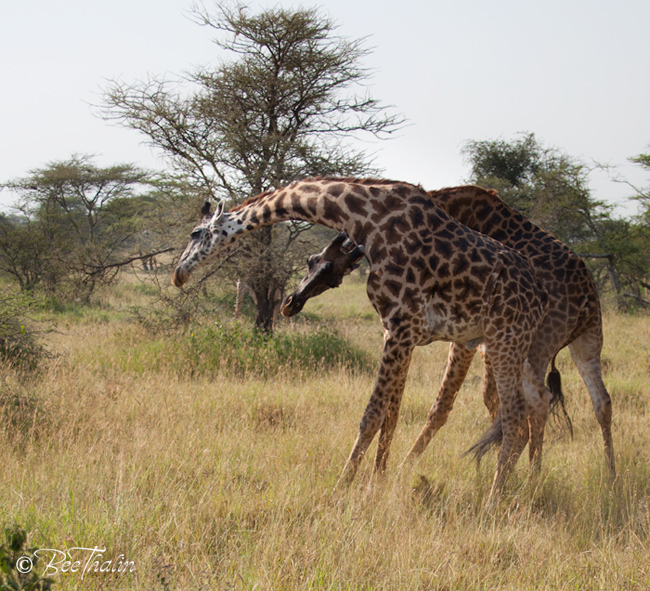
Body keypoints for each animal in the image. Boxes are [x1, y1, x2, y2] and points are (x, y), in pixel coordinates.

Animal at [172, 178, 551, 499]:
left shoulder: (402, 325)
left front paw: (342, 487)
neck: (367, 219)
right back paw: (529, 483)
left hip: (504, 340)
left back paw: (494, 499)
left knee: (514, 416)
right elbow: (390, 416)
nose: (178, 273)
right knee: (537, 403)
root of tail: (539, 295)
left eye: (195, 232)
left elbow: (371, 416)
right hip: (515, 348)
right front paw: (375, 483)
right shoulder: (398, 330)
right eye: (310, 260)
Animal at [281, 185, 615, 477]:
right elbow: (400, 408)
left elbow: (429, 407)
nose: (290, 303)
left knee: (535, 403)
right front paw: (381, 473)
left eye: (325, 267)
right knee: (600, 402)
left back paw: (530, 478)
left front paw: (388, 473)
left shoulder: (450, 337)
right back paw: (604, 479)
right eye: (310, 261)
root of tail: (586, 296)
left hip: (532, 345)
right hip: (586, 341)